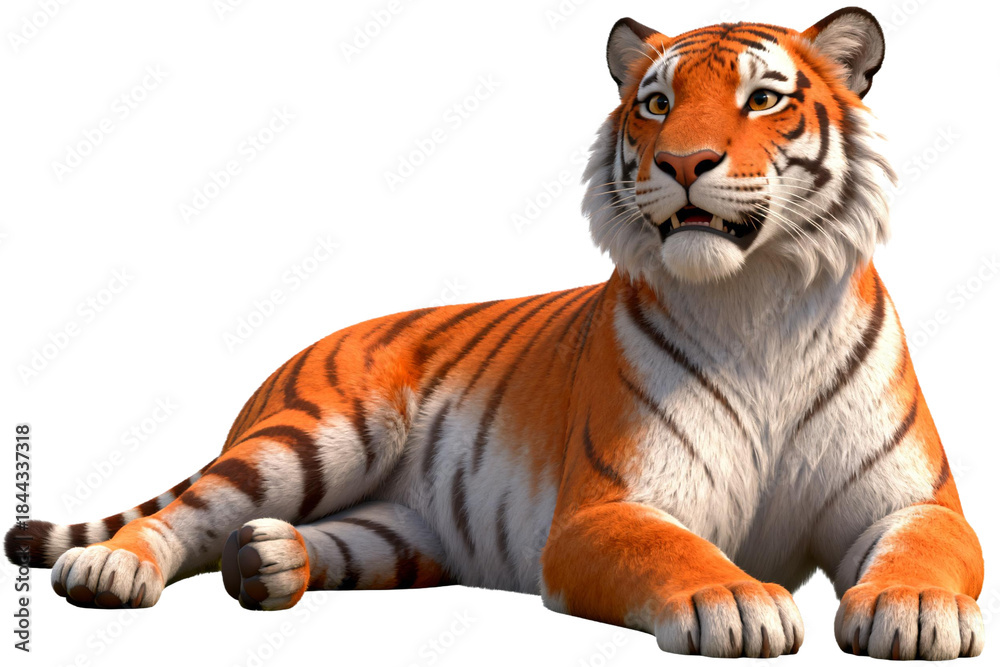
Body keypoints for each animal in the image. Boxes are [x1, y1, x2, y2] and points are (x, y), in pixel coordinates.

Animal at [4, 7, 985, 660]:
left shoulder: (917, 498)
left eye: (767, 98)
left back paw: (267, 561)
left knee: (313, 538)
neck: (756, 301)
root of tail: (294, 354)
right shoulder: (604, 509)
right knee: (182, 512)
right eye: (656, 104)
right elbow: (674, 547)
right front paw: (736, 599)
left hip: (402, 531)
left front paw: (915, 609)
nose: (681, 163)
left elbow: (931, 548)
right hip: (309, 439)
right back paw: (112, 570)